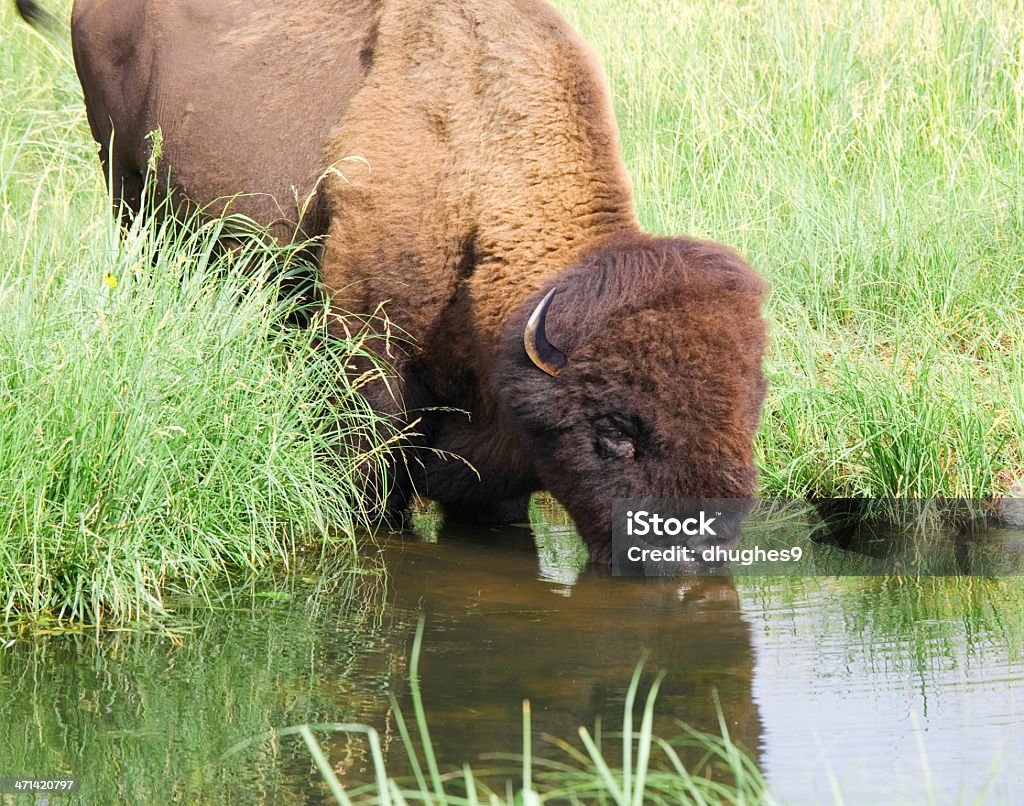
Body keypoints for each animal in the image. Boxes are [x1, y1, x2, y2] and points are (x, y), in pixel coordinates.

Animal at [18, 0, 770, 569]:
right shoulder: (370, 344)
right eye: (615, 432)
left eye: (749, 411)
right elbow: (373, 474)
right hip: (128, 193)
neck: (477, 158)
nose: (697, 554)